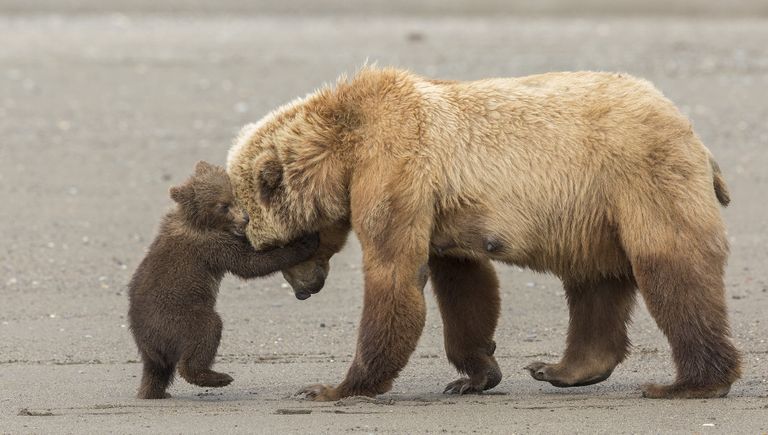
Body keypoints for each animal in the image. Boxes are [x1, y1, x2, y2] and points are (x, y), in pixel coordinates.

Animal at [128, 161, 319, 399]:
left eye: (234, 195)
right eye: (223, 205)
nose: (245, 218)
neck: (201, 222)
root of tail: (146, 342)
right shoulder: (211, 245)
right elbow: (250, 263)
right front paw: (304, 241)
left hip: (156, 346)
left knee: (158, 372)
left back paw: (156, 392)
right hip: (178, 316)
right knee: (207, 332)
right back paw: (218, 377)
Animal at [226, 67, 740, 400]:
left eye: (279, 246)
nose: (304, 291)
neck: (344, 148)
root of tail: (691, 131)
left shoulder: (395, 168)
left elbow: (394, 273)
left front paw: (334, 387)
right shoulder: (440, 209)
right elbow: (465, 285)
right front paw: (474, 375)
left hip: (639, 176)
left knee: (671, 267)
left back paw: (691, 383)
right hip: (593, 214)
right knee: (594, 282)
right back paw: (561, 368)